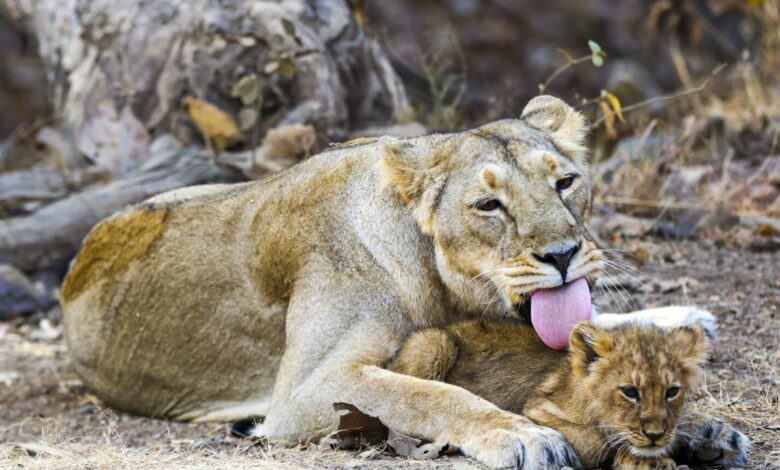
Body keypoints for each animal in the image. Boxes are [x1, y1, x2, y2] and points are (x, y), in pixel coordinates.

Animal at [389, 320, 750, 469]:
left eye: (672, 391)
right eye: (630, 392)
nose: (655, 434)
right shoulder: (536, 409)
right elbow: (593, 441)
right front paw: (640, 458)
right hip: (431, 344)